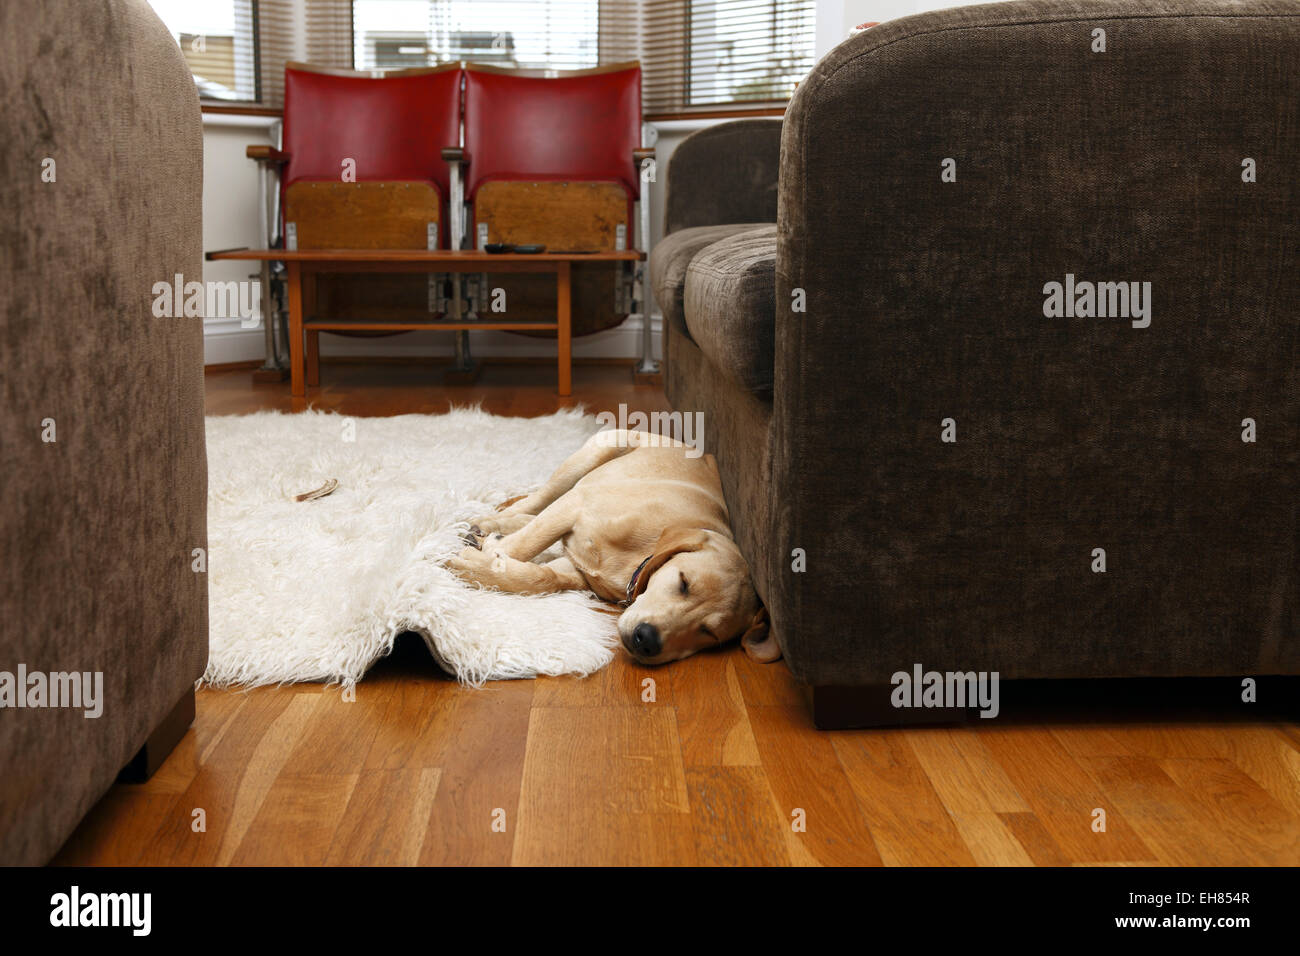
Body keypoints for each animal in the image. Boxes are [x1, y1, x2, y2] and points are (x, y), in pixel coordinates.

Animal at [447, 426, 774, 665]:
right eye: (684, 583)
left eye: (709, 633)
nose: (647, 641)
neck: (637, 561)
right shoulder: (576, 505)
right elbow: (527, 542)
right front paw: (483, 558)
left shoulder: (576, 567)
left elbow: (541, 577)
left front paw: (486, 563)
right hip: (594, 455)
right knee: (534, 503)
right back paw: (488, 524)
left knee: (530, 515)